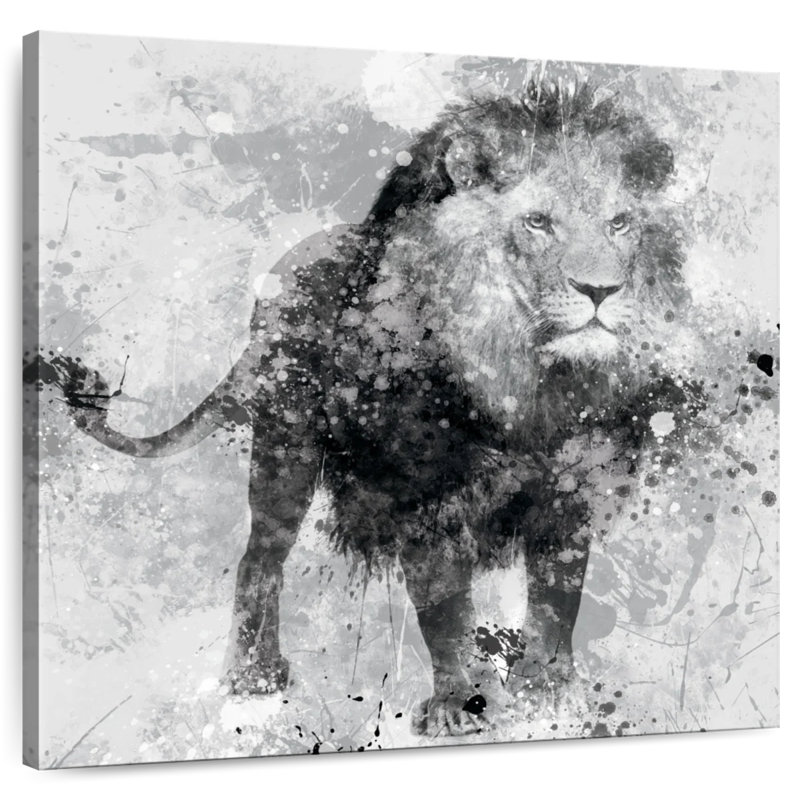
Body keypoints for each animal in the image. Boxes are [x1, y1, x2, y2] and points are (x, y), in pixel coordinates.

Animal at [33, 81, 704, 737]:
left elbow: (559, 601)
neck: (530, 383)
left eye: (620, 223)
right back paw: (252, 677)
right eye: (538, 222)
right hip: (285, 447)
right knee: (258, 558)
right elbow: (444, 609)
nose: (602, 290)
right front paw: (460, 705)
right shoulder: (427, 497)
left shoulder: (574, 495)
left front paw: (552, 692)